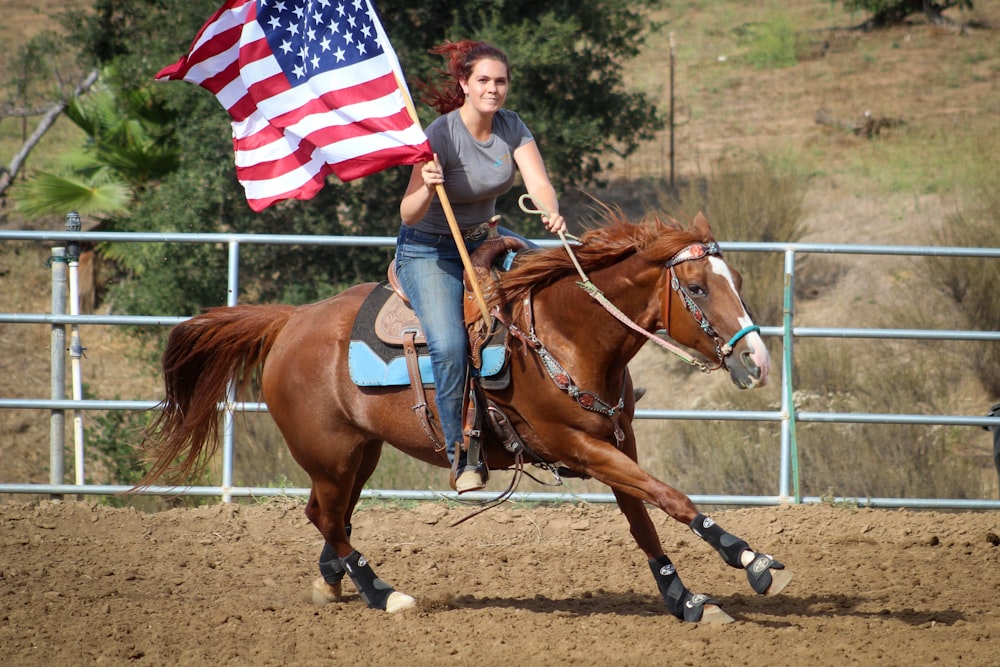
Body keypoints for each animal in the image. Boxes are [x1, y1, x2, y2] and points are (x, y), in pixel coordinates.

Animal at [141, 211, 792, 624]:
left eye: (733, 279)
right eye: (698, 288)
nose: (757, 361)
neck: (566, 335)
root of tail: (290, 321)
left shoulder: (618, 443)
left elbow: (644, 519)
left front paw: (685, 600)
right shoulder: (581, 449)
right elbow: (672, 498)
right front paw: (753, 561)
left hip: (358, 453)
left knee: (327, 516)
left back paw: (333, 582)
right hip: (331, 454)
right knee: (328, 517)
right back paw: (385, 594)